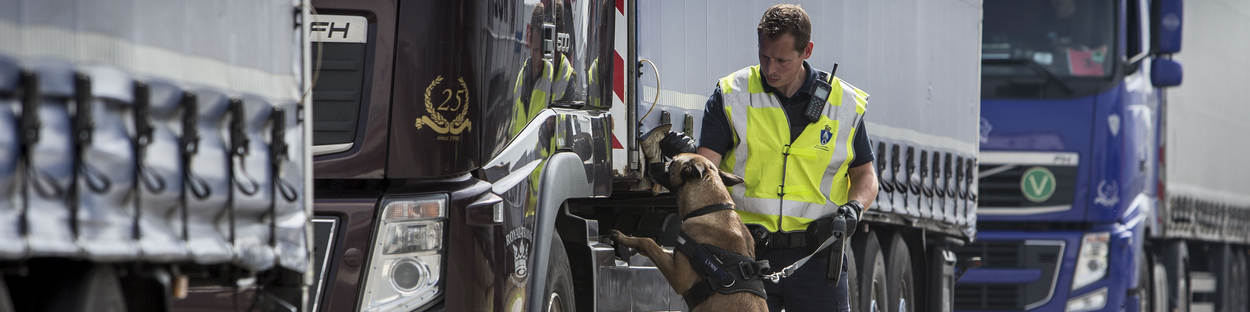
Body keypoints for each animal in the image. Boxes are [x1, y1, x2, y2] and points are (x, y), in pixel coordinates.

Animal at [610, 154, 765, 312]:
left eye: (672, 162)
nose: (650, 165)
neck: (708, 209)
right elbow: (658, 247)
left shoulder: (680, 278)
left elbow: (649, 242)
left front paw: (623, 237)